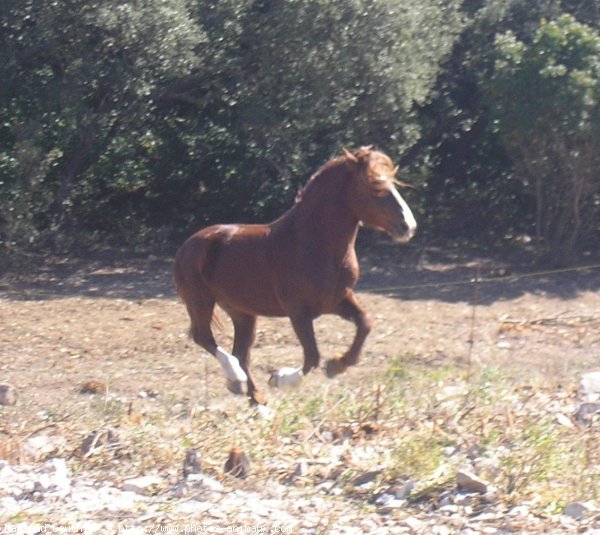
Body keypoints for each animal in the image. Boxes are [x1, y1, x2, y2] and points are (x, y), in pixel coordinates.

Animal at [173, 147, 418, 406]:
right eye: (374, 186)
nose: (408, 226)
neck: (315, 244)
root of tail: (187, 246)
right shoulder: (298, 311)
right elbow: (312, 356)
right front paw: (281, 378)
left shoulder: (337, 300)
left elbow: (365, 324)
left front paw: (336, 365)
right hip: (201, 301)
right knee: (204, 338)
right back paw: (236, 378)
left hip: (241, 312)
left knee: (240, 353)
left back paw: (256, 399)